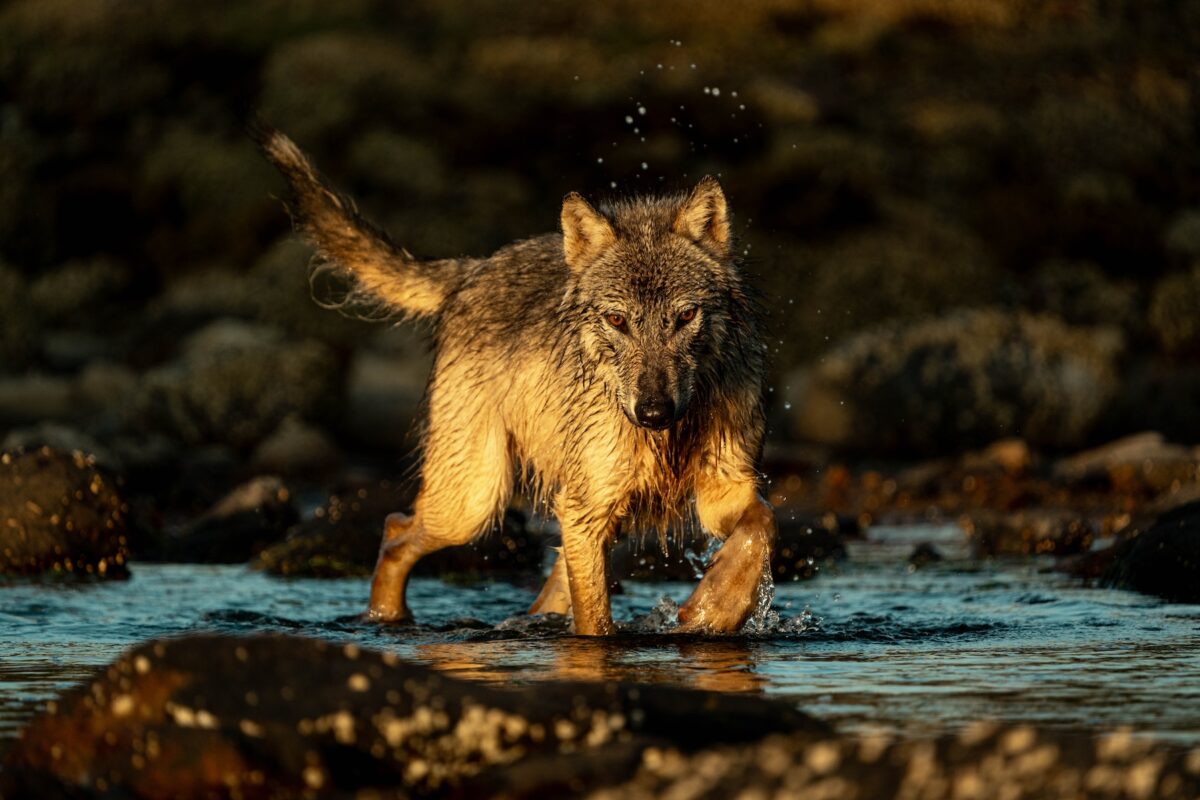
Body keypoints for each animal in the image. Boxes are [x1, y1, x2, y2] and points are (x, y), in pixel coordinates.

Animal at [256, 123, 776, 635]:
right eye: (617, 320)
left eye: (685, 316)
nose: (652, 412)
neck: (672, 435)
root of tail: (474, 269)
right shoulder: (587, 511)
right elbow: (596, 625)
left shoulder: (721, 489)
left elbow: (762, 523)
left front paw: (714, 607)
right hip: (475, 504)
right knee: (394, 530)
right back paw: (386, 619)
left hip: (576, 514)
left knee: (539, 587)